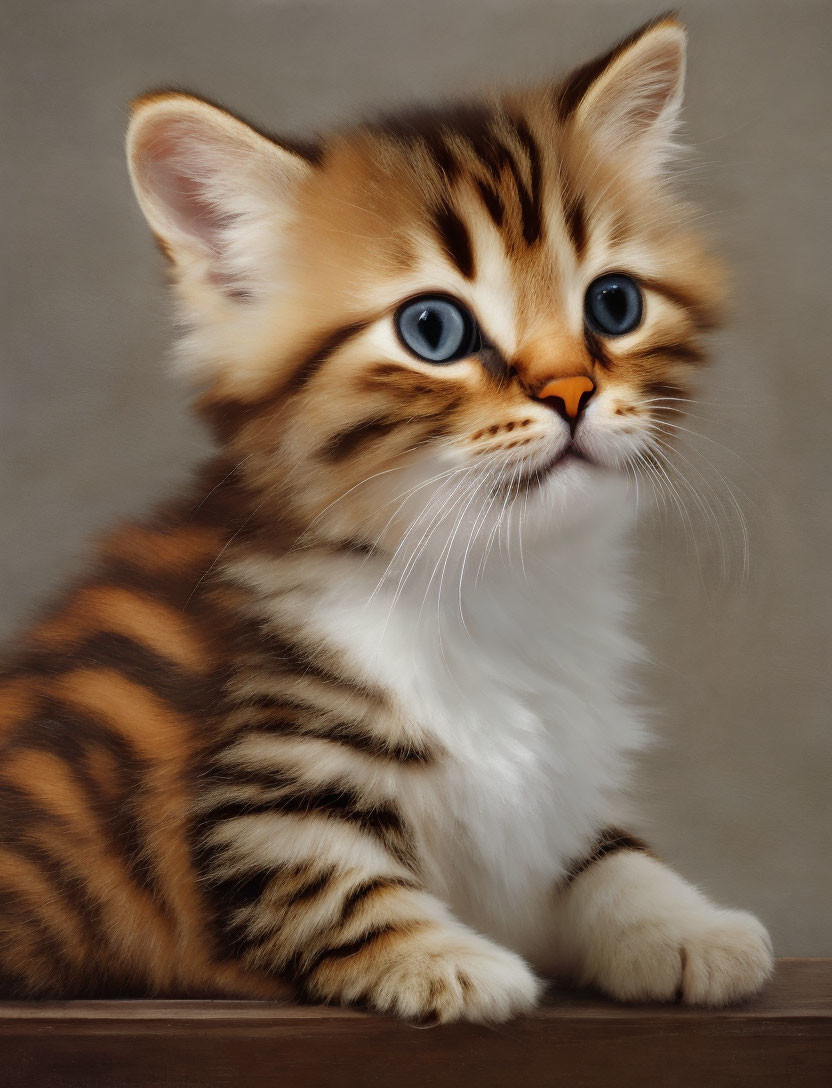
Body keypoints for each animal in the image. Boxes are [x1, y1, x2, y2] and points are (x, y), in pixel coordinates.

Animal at [0, 17, 774, 1018]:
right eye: (433, 330)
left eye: (614, 303)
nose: (572, 391)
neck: (498, 581)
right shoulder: (252, 790)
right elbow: (333, 885)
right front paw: (455, 965)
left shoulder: (543, 808)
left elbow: (604, 857)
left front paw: (687, 925)